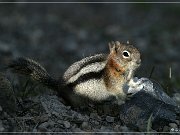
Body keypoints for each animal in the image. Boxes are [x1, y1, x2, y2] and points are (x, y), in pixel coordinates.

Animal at [8, 41, 141, 106]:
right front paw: (126, 97)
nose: (139, 61)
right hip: (76, 97)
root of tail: (58, 85)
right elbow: (117, 92)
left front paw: (137, 85)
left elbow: (130, 83)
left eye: (136, 48)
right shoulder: (112, 83)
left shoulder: (127, 78)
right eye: (125, 54)